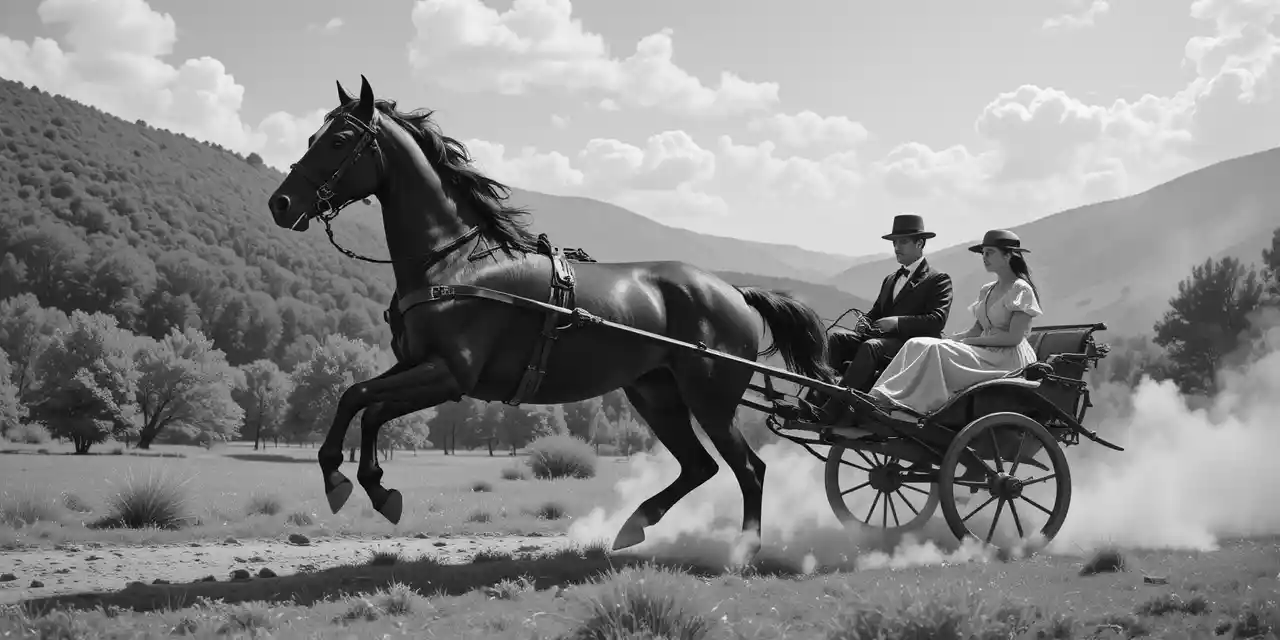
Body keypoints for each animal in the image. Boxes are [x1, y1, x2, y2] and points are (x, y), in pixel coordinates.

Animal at [265, 74, 836, 561]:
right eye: (314, 134)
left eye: (339, 140)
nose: (281, 203)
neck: (453, 263)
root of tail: (732, 292)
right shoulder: (417, 367)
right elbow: (360, 401)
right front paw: (361, 482)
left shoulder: (449, 376)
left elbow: (363, 400)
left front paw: (355, 482)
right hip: (655, 394)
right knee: (701, 465)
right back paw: (634, 527)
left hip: (710, 400)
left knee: (750, 469)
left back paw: (741, 551)